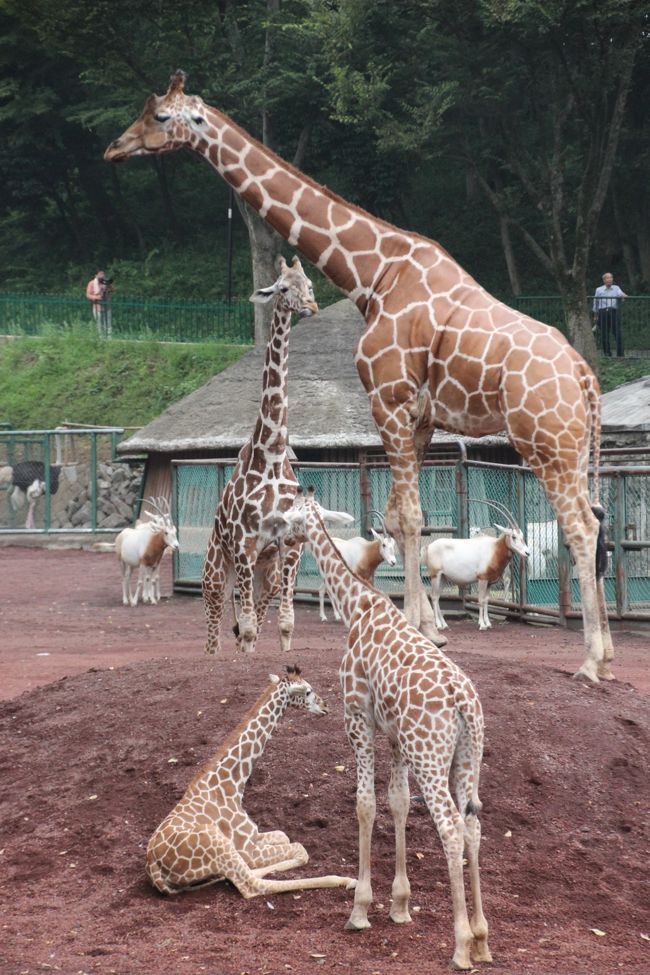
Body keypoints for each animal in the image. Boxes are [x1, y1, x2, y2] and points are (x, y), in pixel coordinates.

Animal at [146, 664, 354, 900]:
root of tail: (153, 866)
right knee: (251, 885)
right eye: (308, 691)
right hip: (219, 844)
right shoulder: (248, 849)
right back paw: (346, 880)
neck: (232, 785)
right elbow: (300, 849)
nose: (326, 706)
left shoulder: (254, 837)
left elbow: (284, 836)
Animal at [201, 258, 316, 656]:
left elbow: (285, 624)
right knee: (216, 629)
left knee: (251, 616)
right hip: (217, 571)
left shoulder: (290, 546)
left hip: (266, 571)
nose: (310, 307)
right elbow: (249, 630)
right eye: (282, 288)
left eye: (309, 283)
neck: (273, 454)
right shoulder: (244, 546)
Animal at [280, 492, 492, 972]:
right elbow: (398, 802)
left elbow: (365, 804)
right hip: (466, 758)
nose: (279, 534)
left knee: (451, 827)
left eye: (294, 516)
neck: (357, 606)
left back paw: (460, 946)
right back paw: (483, 939)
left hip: (430, 756)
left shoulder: (356, 717)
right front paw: (399, 905)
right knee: (473, 827)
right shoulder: (396, 736)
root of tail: (463, 702)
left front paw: (360, 910)